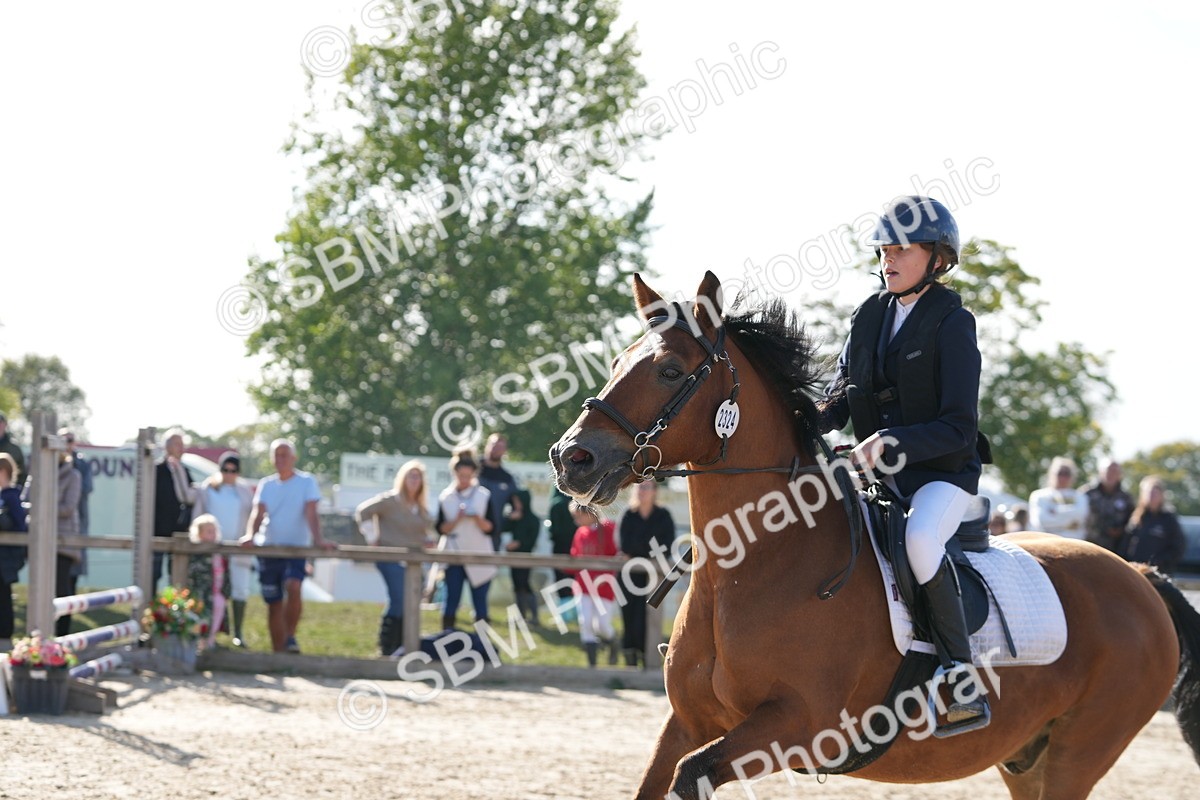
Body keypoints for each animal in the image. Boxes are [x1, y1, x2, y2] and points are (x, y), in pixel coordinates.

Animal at [550, 271, 1200, 799]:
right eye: (616, 363)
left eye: (669, 371)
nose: (570, 459)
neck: (756, 563)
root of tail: (1138, 577)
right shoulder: (687, 722)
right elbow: (656, 781)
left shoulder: (796, 726)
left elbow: (691, 776)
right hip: (1025, 758)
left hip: (1078, 753)